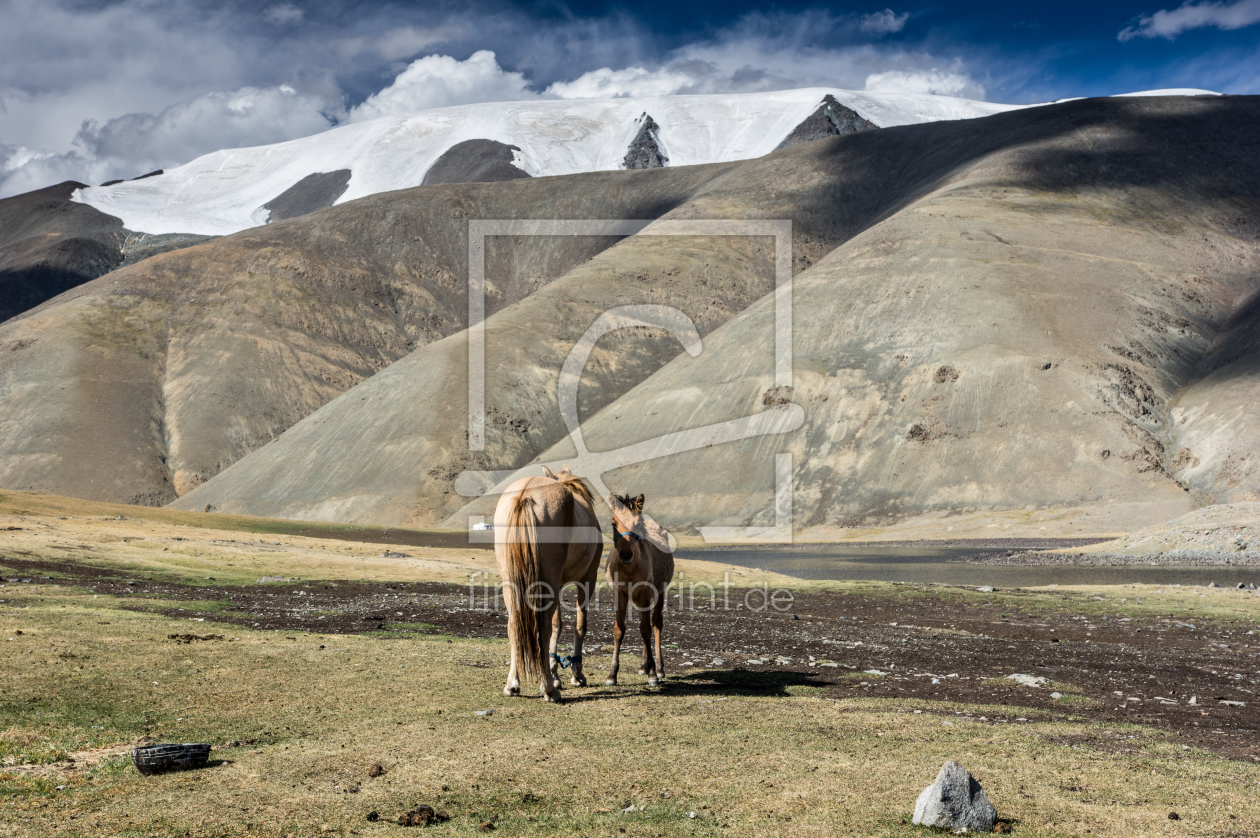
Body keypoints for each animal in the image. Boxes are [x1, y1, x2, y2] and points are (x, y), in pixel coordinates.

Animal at [493, 463, 602, 700]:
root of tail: (525, 495)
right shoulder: (587, 579)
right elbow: (580, 625)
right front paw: (576, 675)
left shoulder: (559, 583)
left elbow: (557, 624)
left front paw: (555, 672)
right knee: (541, 626)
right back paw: (549, 689)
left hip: (512, 582)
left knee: (514, 625)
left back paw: (513, 684)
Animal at [604, 493, 675, 685]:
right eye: (613, 523)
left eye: (637, 524)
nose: (625, 555)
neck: (629, 569)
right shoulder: (619, 594)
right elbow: (619, 629)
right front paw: (612, 674)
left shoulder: (645, 594)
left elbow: (646, 629)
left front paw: (653, 674)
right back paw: (644, 666)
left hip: (659, 593)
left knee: (656, 624)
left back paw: (658, 668)